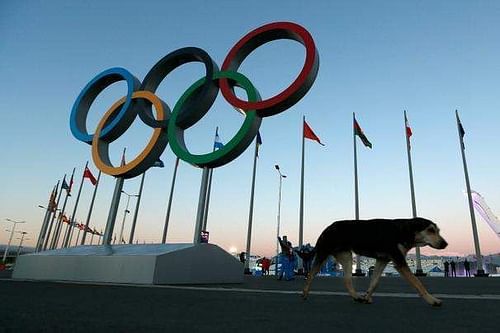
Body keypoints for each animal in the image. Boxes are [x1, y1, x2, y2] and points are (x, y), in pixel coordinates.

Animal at [302, 218, 448, 306]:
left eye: (438, 231)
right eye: (430, 230)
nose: (445, 244)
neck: (403, 231)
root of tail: (327, 228)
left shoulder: (382, 260)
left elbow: (375, 282)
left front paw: (367, 297)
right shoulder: (399, 261)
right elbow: (418, 282)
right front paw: (432, 300)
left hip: (346, 256)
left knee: (347, 279)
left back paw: (357, 297)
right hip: (323, 253)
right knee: (311, 274)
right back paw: (304, 294)